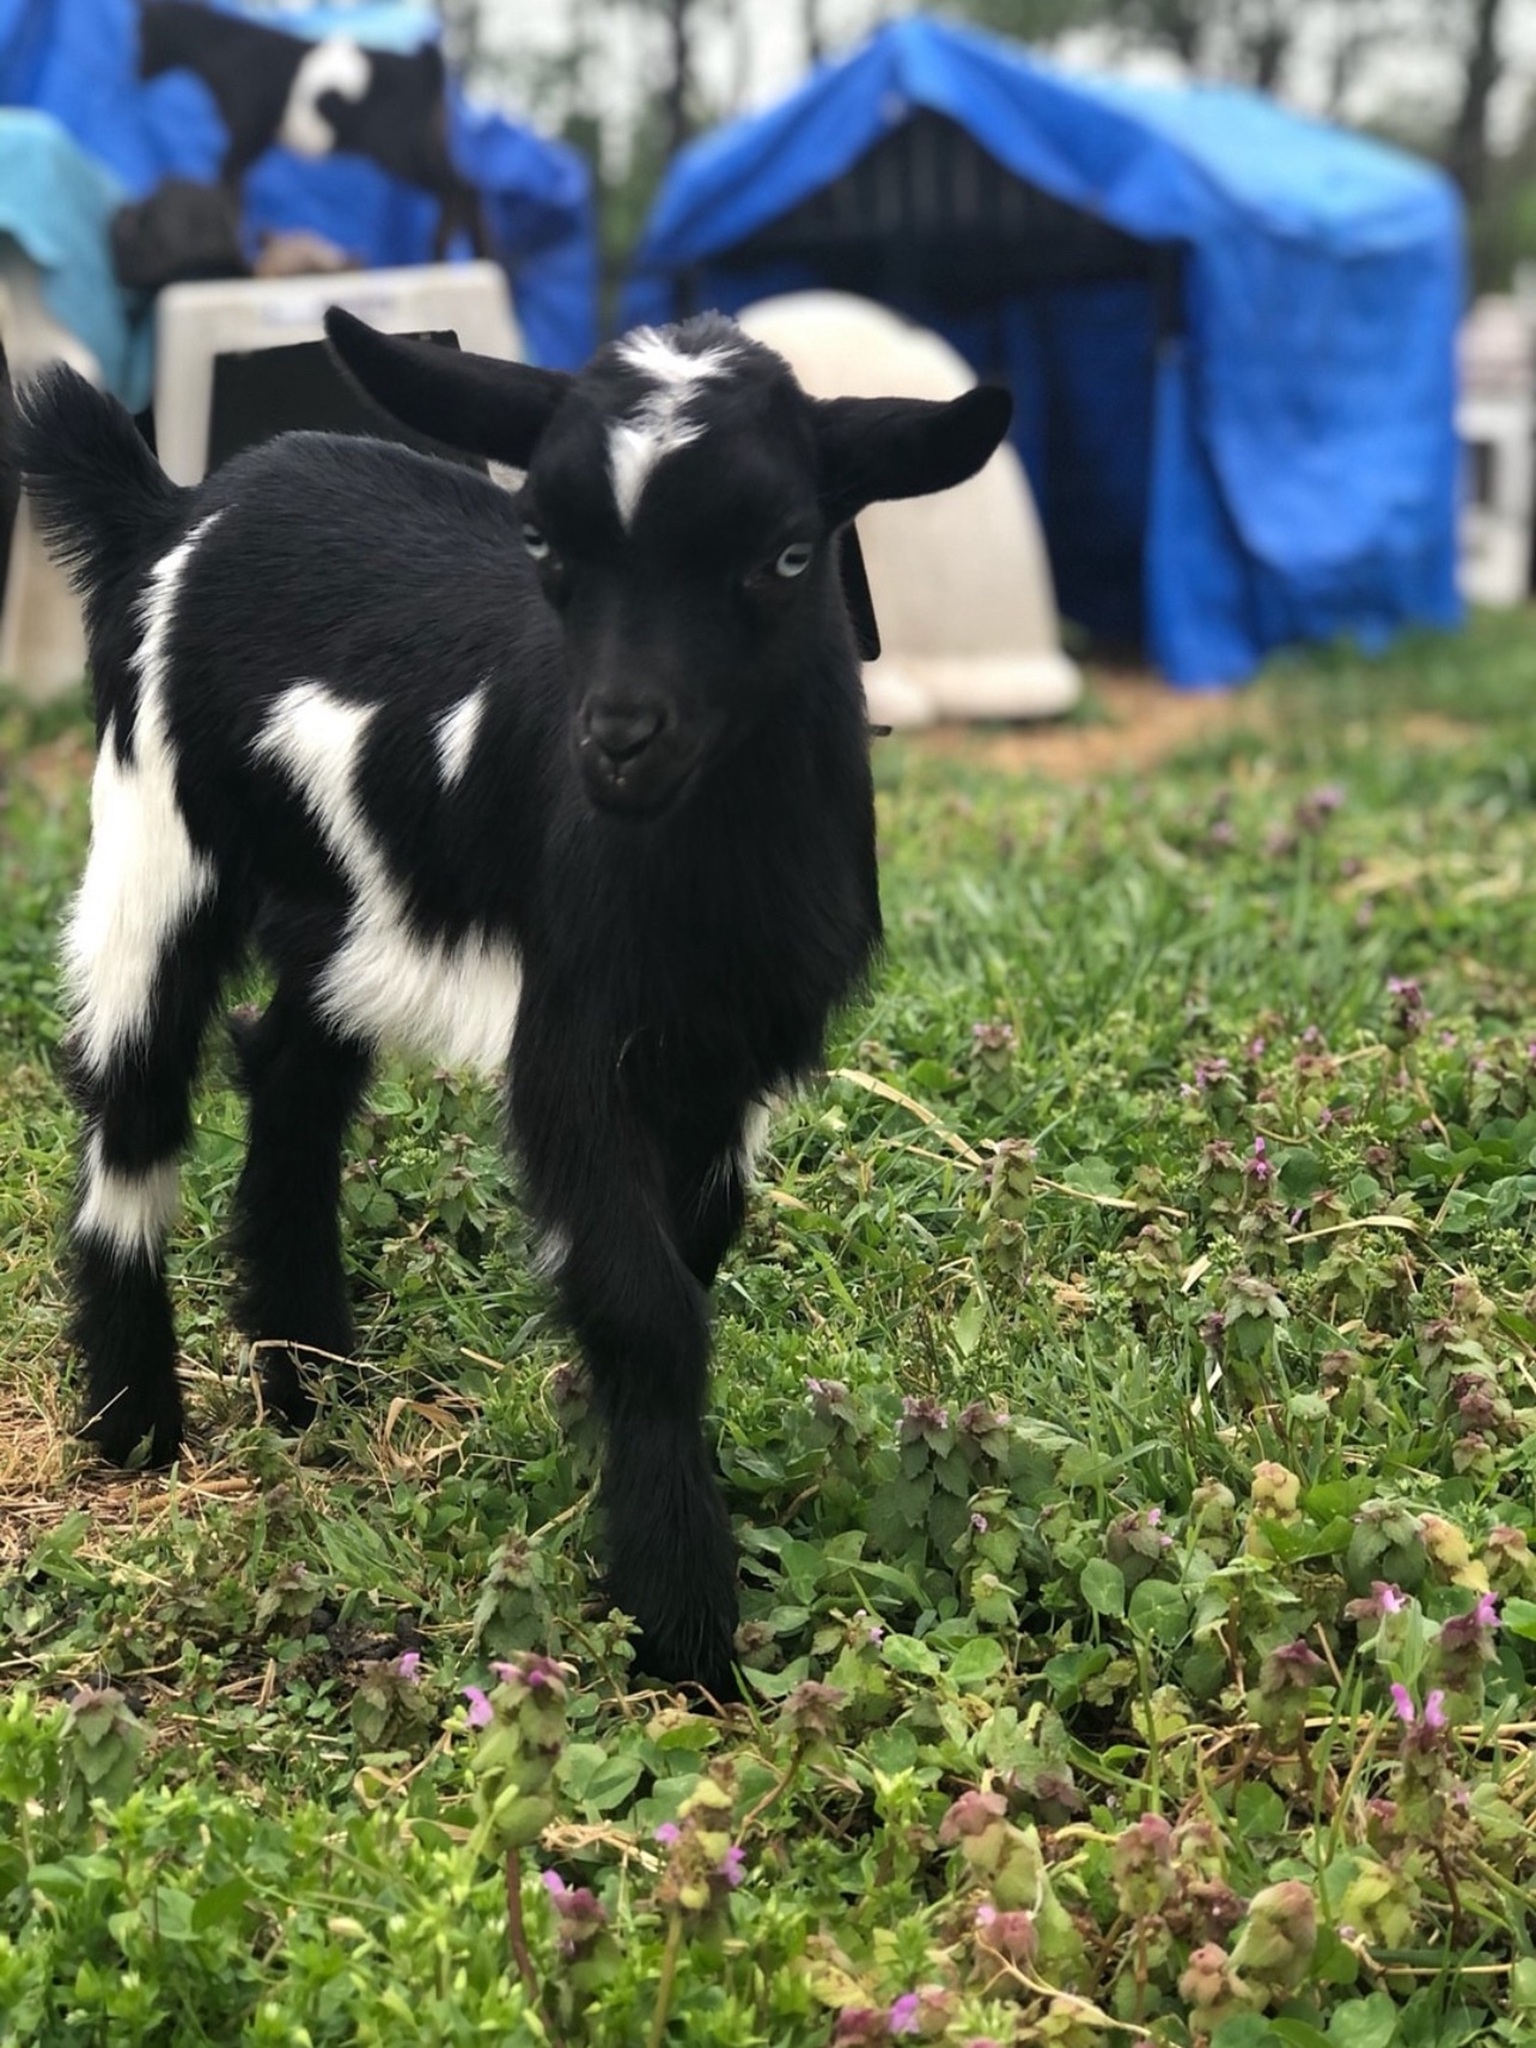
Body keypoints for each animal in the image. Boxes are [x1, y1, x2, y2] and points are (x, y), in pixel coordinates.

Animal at [15, 312, 1011, 1694]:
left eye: (788, 552)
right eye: (542, 539)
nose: (620, 738)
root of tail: (179, 507)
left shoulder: (729, 1052)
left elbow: (686, 1261)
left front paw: (620, 1496)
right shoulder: (572, 1041)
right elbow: (646, 1304)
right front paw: (682, 1626)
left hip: (348, 906)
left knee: (291, 1076)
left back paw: (310, 1380)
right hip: (154, 828)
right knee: (136, 1094)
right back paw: (136, 1423)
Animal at [138, 1, 486, 261]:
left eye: (142, 31)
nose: (136, 72)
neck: (229, 48)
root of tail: (425, 62)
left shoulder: (246, 134)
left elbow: (228, 186)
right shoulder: (253, 142)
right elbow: (235, 188)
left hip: (401, 148)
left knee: (458, 190)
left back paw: (443, 256)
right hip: (429, 143)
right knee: (466, 189)